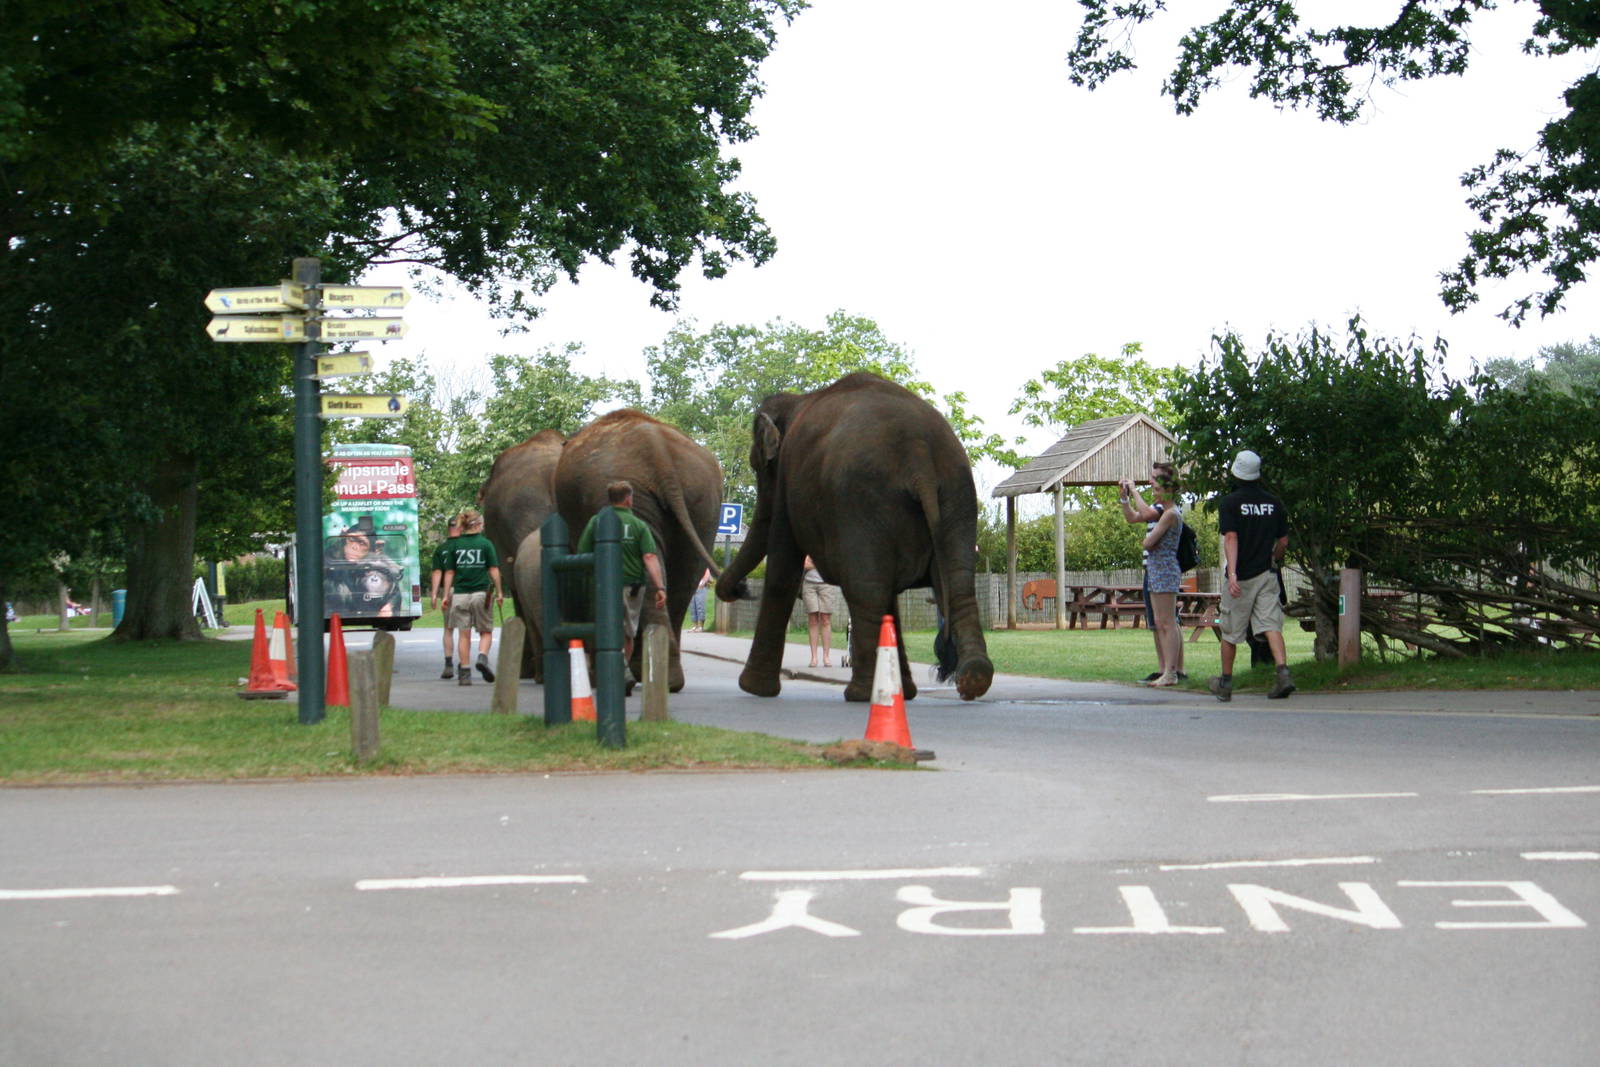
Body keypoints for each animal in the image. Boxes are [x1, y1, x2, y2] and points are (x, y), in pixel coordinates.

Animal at [715, 371, 994, 702]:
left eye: (757, 466)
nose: (741, 588)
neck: (798, 400)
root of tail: (919, 455)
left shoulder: (786, 483)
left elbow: (782, 571)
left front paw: (753, 689)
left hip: (860, 501)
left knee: (867, 589)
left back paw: (862, 693)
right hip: (957, 495)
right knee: (956, 584)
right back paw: (973, 678)